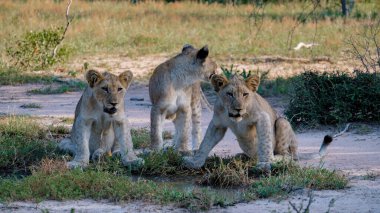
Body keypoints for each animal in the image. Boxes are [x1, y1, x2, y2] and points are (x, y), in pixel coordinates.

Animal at [183, 74, 332, 171]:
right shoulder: (217, 123)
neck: (237, 119)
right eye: (229, 94)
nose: (238, 108)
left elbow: (265, 143)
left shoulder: (262, 117)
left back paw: (276, 159)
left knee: (288, 156)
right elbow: (205, 143)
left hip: (282, 122)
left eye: (245, 94)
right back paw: (242, 157)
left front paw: (265, 163)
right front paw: (195, 162)